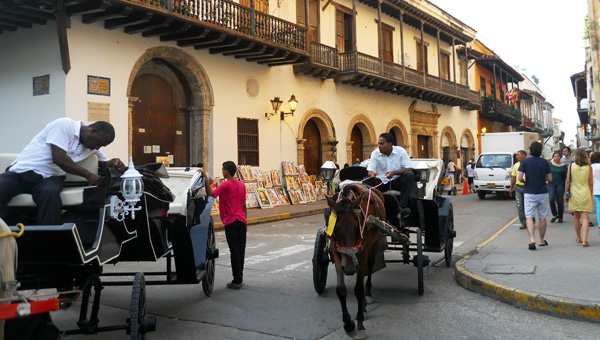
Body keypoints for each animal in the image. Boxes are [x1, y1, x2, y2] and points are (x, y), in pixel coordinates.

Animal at [326, 185, 386, 338]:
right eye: (335, 228)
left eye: (356, 227)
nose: (349, 268)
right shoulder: (336, 252)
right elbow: (341, 289)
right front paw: (348, 325)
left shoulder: (363, 252)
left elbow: (359, 289)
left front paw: (359, 324)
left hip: (373, 245)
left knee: (369, 268)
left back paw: (368, 294)